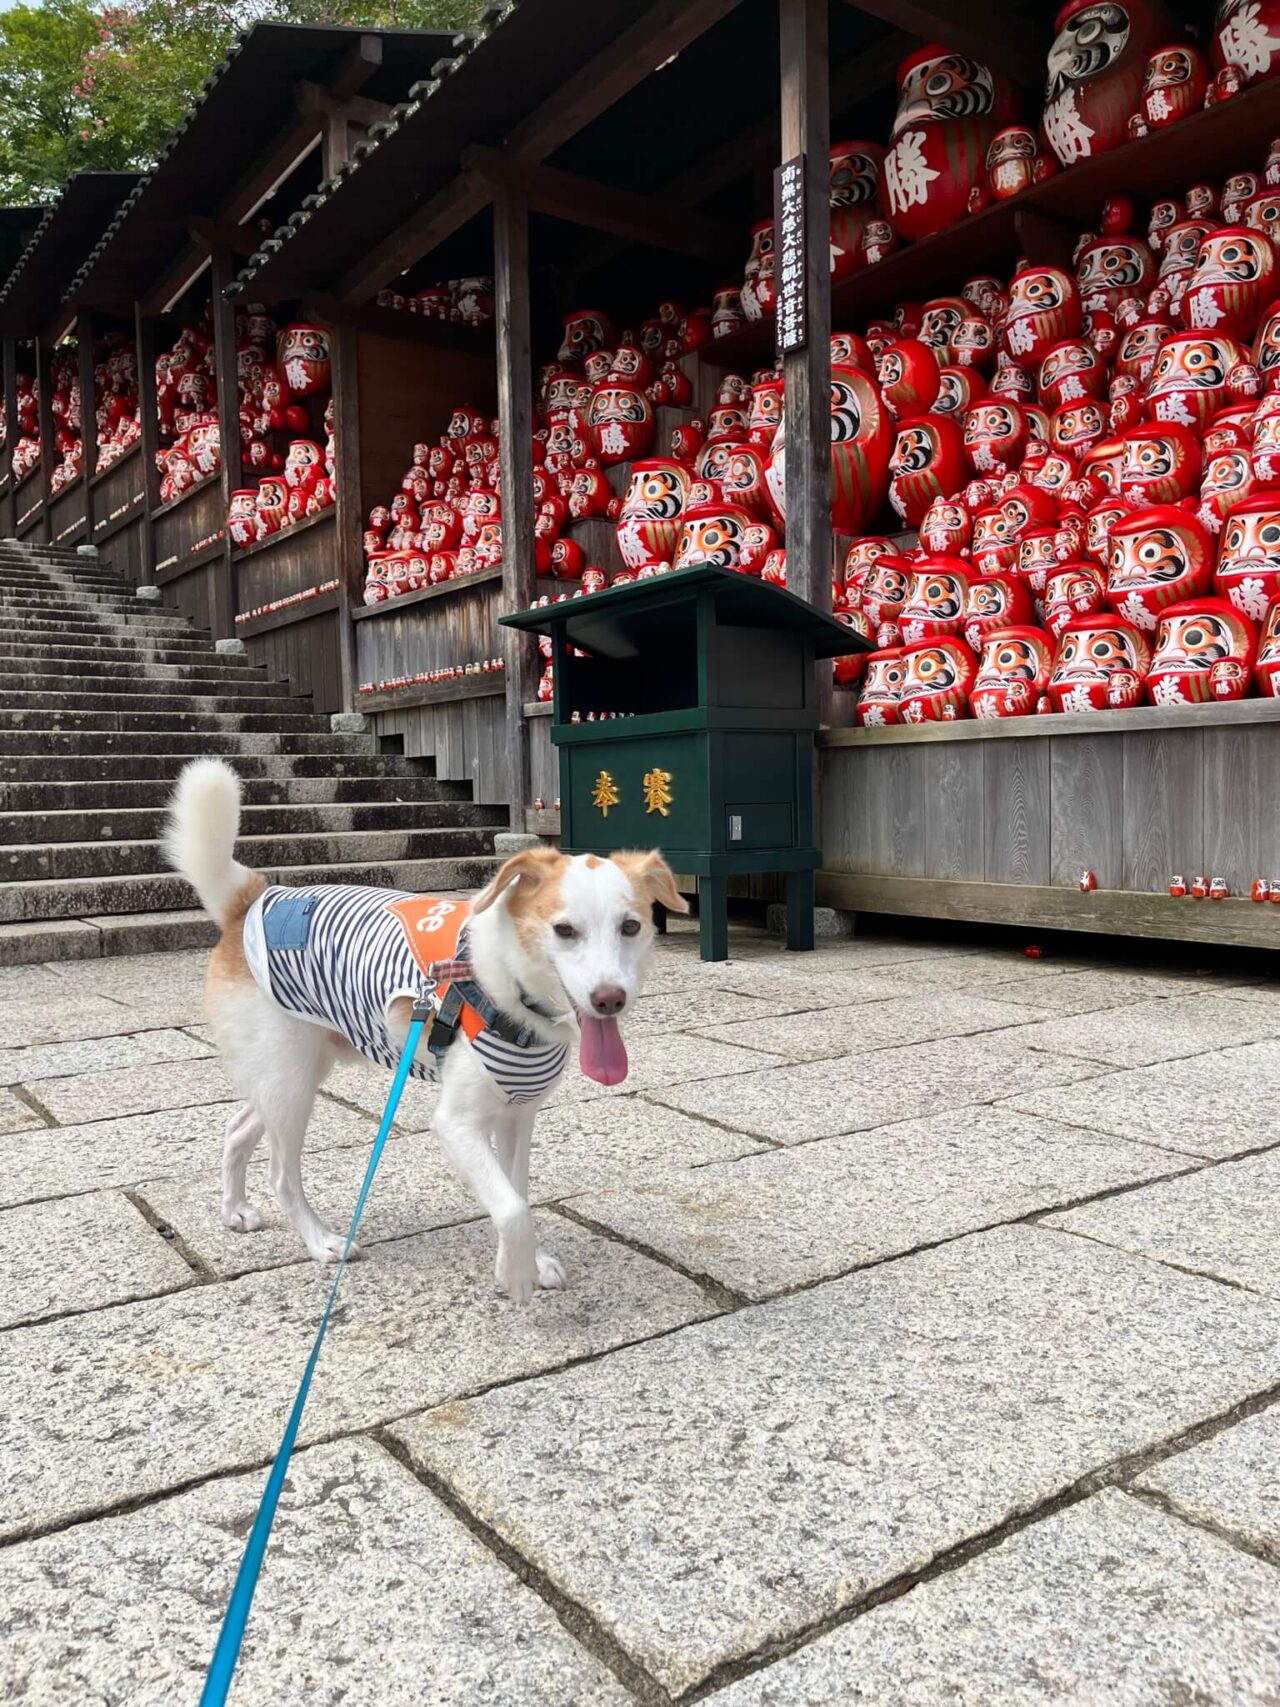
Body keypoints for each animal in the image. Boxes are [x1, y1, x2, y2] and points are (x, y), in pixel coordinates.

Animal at [170, 754, 696, 1297]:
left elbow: (517, 1190)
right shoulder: (457, 1122)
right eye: (564, 930)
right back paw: (321, 1241)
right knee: (280, 1173)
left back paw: (234, 1210)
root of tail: (251, 899)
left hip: (291, 1074)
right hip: (288, 1083)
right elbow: (511, 1207)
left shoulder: (517, 1115)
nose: (609, 999)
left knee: (237, 1129)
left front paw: (531, 1261)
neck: (511, 988)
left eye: (631, 927)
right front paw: (515, 1273)